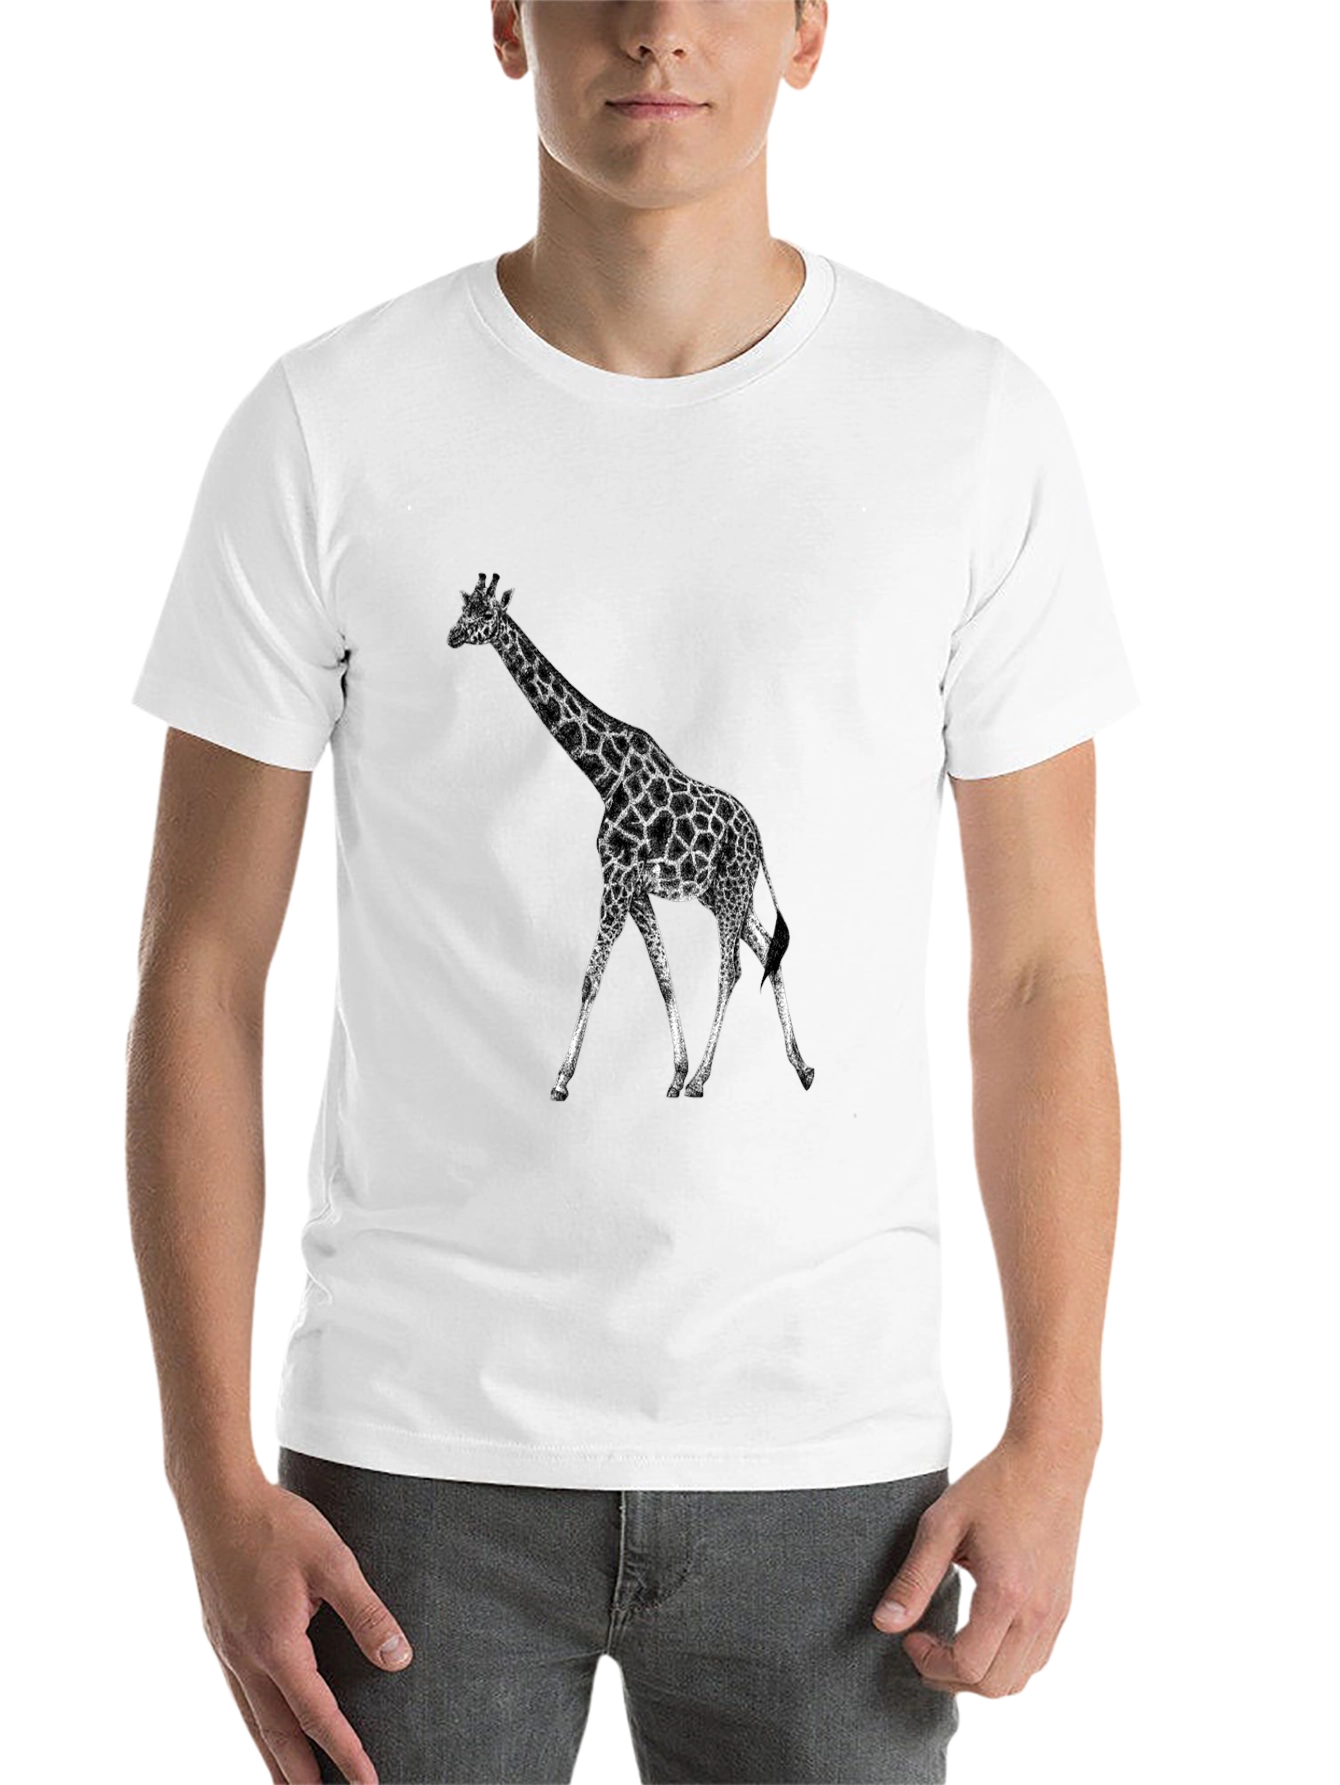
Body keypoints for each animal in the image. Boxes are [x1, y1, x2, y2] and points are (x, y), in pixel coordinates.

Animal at [447, 571, 815, 1102]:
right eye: (464, 608)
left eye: (486, 614)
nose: (452, 635)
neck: (605, 774)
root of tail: (760, 837)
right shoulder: (636, 890)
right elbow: (663, 977)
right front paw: (675, 1072)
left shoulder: (618, 880)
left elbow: (590, 977)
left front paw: (561, 1080)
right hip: (725, 895)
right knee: (769, 951)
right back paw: (801, 1067)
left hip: (730, 892)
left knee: (732, 969)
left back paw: (705, 1080)